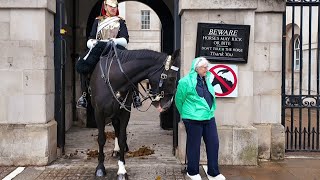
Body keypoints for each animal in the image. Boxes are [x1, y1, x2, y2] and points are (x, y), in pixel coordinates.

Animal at [90, 42, 180, 179]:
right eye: (171, 78)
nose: (167, 105)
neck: (115, 80)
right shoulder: (98, 113)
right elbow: (101, 139)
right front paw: (100, 168)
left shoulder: (124, 112)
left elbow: (122, 138)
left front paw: (122, 169)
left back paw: (117, 150)